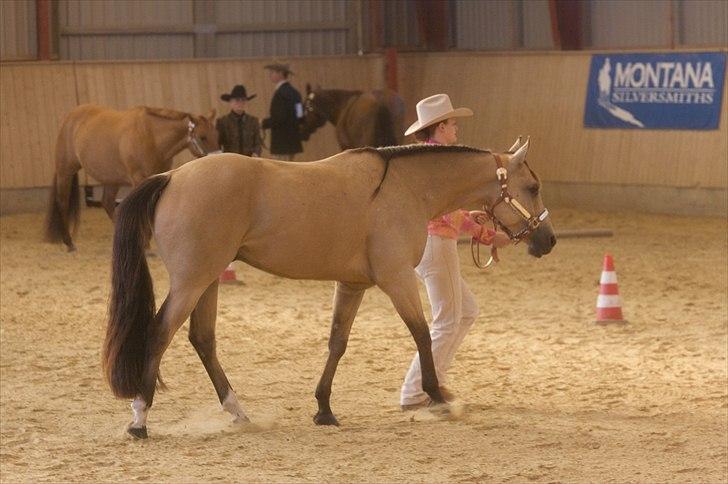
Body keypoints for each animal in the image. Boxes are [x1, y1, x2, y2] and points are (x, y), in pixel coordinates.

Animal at [43, 104, 218, 251]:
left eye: (216, 134)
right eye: (202, 137)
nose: (216, 159)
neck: (151, 136)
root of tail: (69, 118)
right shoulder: (138, 178)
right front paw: (146, 243)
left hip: (111, 179)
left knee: (107, 203)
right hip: (65, 171)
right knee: (62, 202)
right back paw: (69, 242)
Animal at [102, 137, 556, 438]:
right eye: (532, 187)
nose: (547, 240)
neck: (403, 188)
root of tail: (171, 175)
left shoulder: (353, 284)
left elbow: (337, 342)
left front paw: (324, 409)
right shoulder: (397, 279)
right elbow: (422, 334)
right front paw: (438, 396)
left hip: (208, 279)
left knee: (203, 339)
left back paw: (238, 412)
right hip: (192, 280)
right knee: (160, 333)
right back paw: (140, 419)